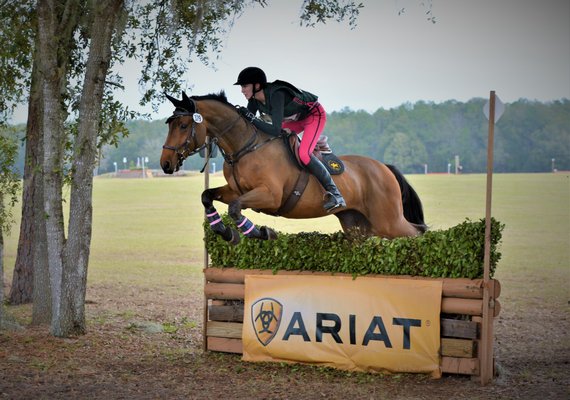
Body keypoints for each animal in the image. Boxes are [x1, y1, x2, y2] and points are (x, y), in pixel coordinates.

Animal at [158, 92, 424, 245]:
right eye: (170, 124)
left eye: (183, 125)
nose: (166, 164)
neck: (245, 147)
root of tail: (385, 168)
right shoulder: (236, 189)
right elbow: (207, 196)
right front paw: (225, 232)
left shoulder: (270, 195)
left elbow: (235, 208)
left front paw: (262, 233)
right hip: (357, 224)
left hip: (389, 221)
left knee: (416, 232)